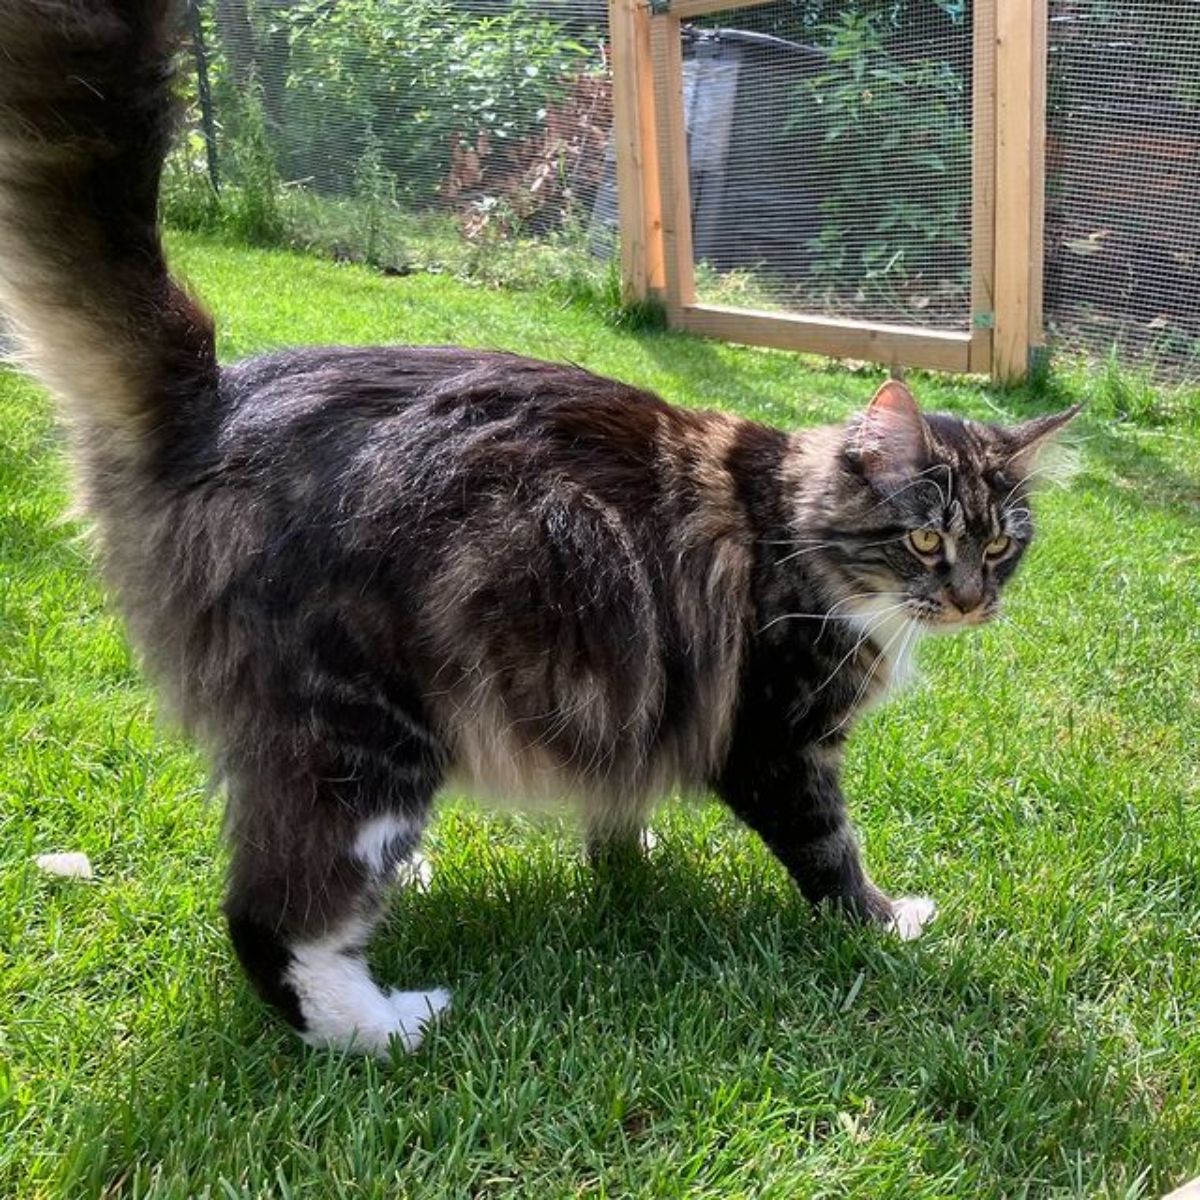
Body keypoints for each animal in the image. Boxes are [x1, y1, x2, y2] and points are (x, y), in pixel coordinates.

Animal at [0, 0, 1080, 1056]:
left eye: (1000, 546)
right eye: (927, 540)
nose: (970, 602)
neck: (790, 527)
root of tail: (214, 401)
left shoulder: (640, 695)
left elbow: (622, 802)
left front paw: (633, 859)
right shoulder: (778, 742)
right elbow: (831, 855)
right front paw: (889, 922)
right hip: (363, 732)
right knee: (275, 915)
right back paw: (390, 1023)